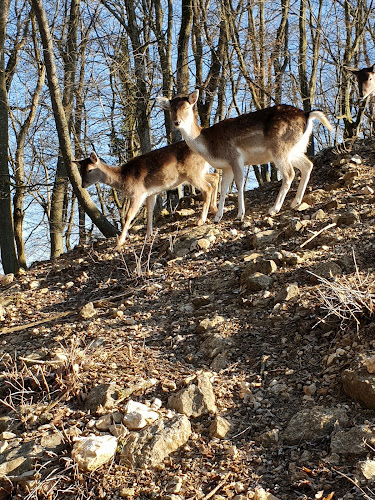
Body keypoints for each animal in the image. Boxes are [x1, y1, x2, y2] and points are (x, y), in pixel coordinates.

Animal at [76, 143, 220, 248]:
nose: (82, 185)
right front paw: (148, 234)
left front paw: (119, 242)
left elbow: (129, 215)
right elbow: (150, 211)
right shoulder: (151, 193)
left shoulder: (137, 193)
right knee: (215, 177)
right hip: (198, 172)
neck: (123, 178)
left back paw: (201, 220)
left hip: (192, 173)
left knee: (207, 187)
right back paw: (215, 209)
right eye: (80, 171)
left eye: (90, 170)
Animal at [157, 90, 334, 223]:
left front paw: (240, 214)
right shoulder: (226, 166)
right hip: (295, 149)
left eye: (186, 108)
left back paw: (274, 208)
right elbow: (224, 188)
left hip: (280, 148)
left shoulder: (235, 157)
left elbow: (239, 183)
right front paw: (217, 217)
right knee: (308, 165)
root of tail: (307, 115)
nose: (177, 122)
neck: (209, 146)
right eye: (171, 109)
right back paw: (295, 202)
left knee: (289, 173)